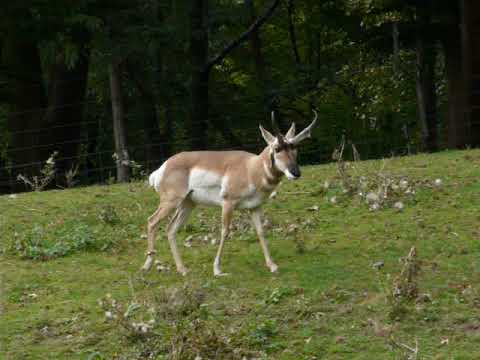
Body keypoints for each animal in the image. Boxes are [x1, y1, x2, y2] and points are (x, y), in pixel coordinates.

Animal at [141, 111, 316, 278]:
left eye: (294, 148)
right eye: (277, 148)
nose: (296, 173)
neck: (251, 168)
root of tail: (163, 167)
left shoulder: (255, 207)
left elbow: (261, 231)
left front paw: (272, 266)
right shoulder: (228, 203)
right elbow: (225, 231)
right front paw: (217, 270)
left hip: (187, 204)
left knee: (171, 229)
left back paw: (183, 269)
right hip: (171, 202)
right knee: (152, 221)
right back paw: (147, 266)